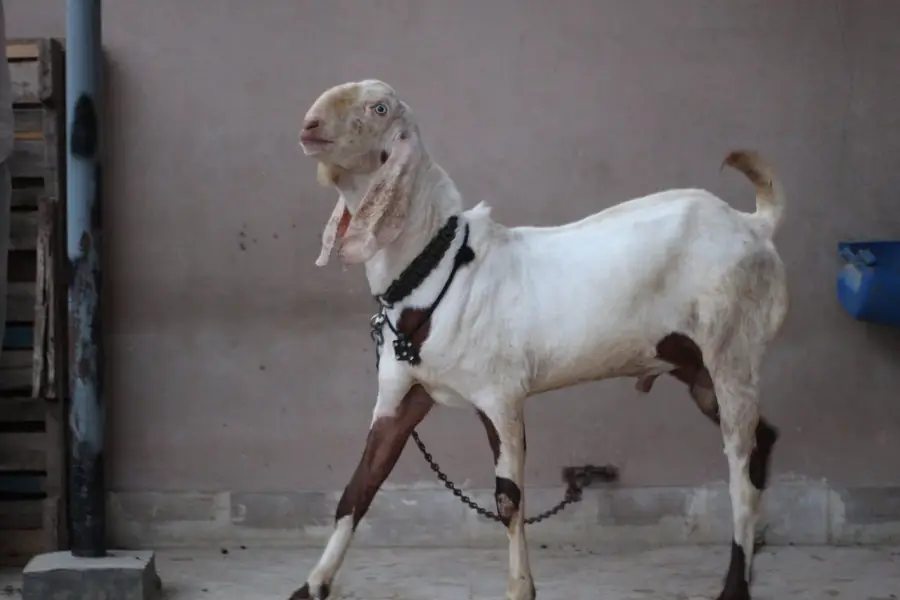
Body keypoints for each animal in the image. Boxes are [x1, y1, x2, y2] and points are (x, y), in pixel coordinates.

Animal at [292, 79, 789, 600]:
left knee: (739, 465)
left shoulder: (500, 396)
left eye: (379, 108)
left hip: (733, 350)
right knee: (763, 441)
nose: (309, 127)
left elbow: (509, 501)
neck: (440, 267)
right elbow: (358, 488)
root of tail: (753, 225)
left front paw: (520, 588)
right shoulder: (401, 396)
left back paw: (734, 587)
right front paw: (311, 585)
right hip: (694, 368)